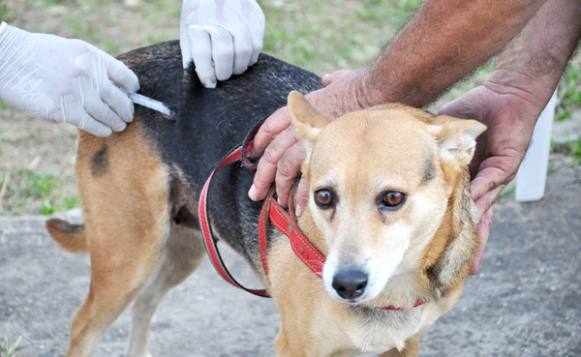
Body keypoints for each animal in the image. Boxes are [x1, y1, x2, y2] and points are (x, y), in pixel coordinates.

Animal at [45, 40, 482, 354]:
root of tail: (127, 68)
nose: (345, 285)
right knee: (82, 326)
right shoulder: (295, 346)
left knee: (145, 304)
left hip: (184, 246)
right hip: (130, 255)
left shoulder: (405, 344)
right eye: (323, 196)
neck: (397, 287)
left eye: (392, 198)